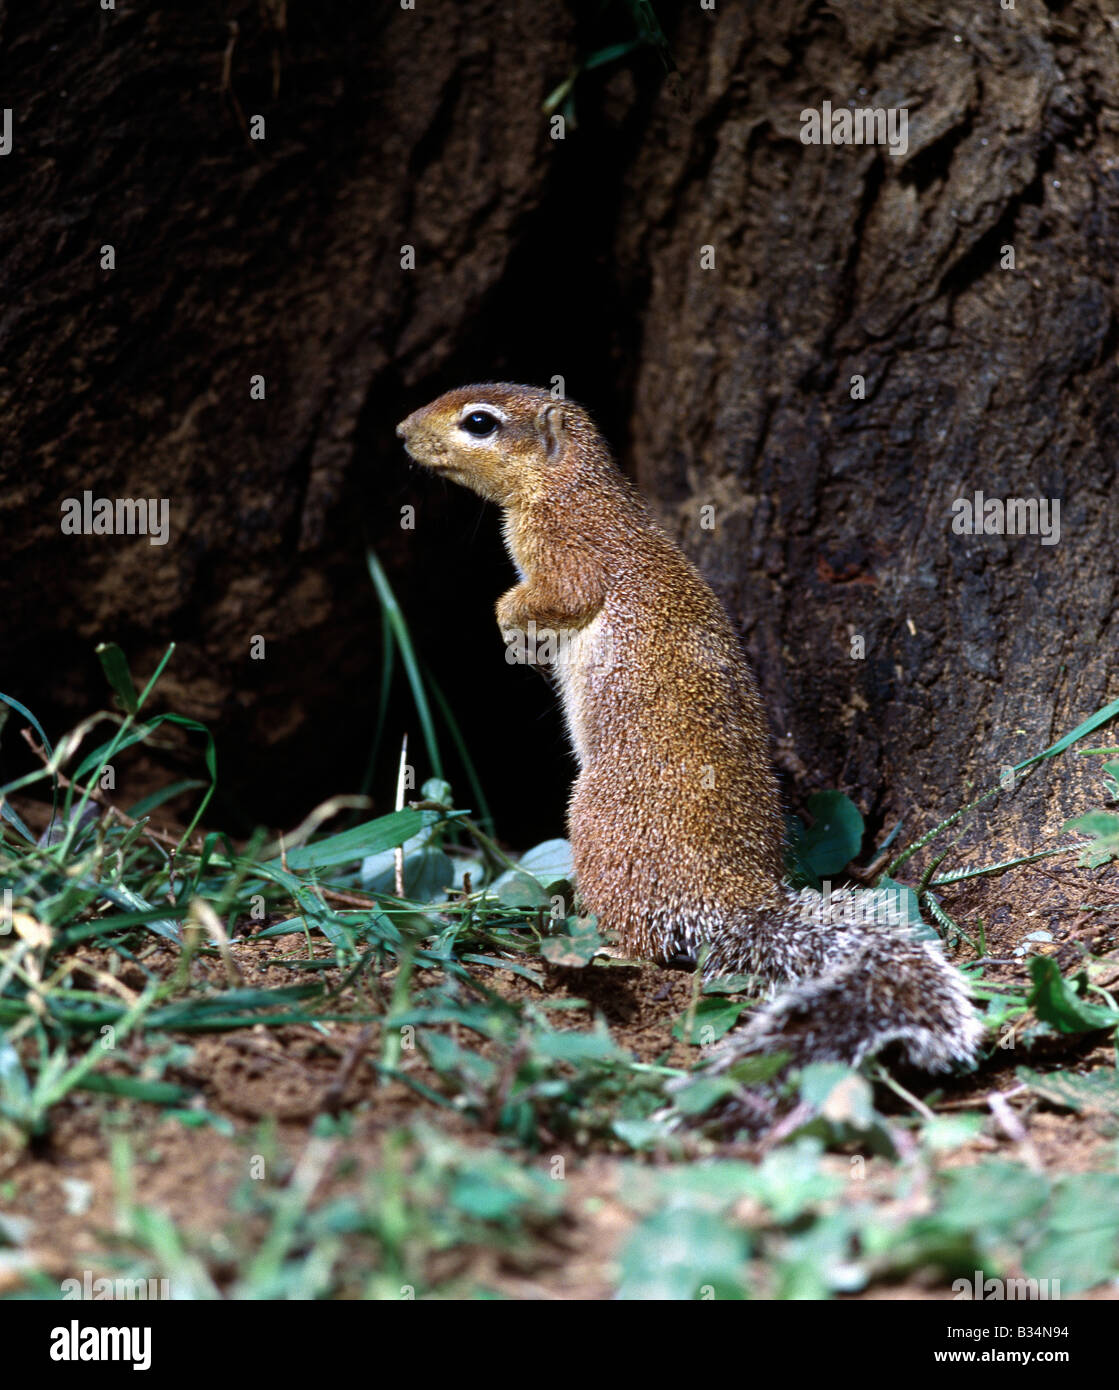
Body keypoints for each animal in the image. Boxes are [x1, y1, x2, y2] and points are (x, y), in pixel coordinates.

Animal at [397, 386, 984, 1067]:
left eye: (479, 422)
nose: (402, 430)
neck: (570, 485)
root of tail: (729, 898)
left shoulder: (569, 552)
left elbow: (553, 597)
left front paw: (507, 621)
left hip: (595, 830)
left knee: (643, 942)